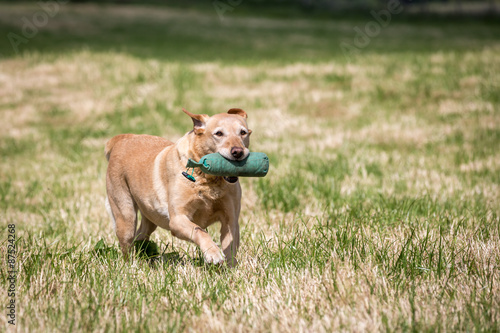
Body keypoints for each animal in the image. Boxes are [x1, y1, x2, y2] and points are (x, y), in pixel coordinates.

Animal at [104, 107, 252, 266]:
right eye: (218, 133)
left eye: (243, 132)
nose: (238, 152)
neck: (207, 180)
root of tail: (122, 139)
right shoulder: (177, 220)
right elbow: (199, 231)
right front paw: (213, 253)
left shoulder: (231, 219)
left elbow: (230, 248)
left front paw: (229, 269)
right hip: (125, 215)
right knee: (127, 245)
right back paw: (132, 265)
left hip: (149, 217)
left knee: (141, 236)